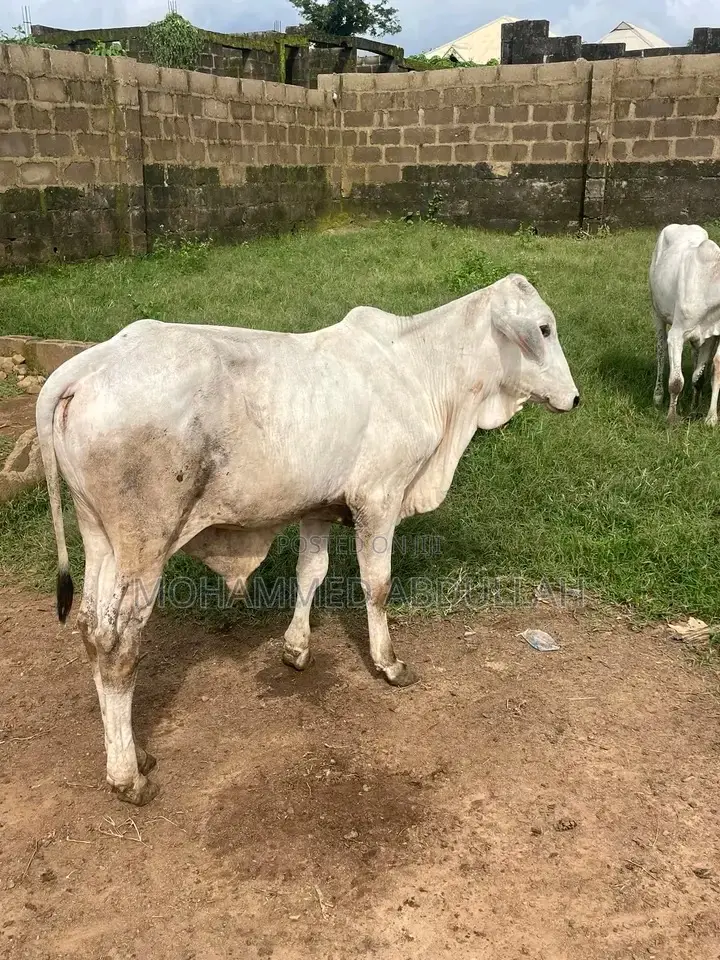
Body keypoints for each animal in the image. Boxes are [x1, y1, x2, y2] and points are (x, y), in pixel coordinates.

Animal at [35, 274, 579, 805]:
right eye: (544, 328)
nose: (575, 398)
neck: (418, 368)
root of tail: (94, 360)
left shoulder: (317, 506)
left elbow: (310, 574)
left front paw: (296, 649)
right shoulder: (378, 497)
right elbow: (377, 586)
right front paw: (388, 663)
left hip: (99, 538)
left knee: (90, 627)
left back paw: (134, 753)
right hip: (144, 544)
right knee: (117, 644)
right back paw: (128, 776)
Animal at [650, 224, 720, 424]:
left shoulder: (712, 336)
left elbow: (703, 375)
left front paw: (706, 416)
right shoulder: (676, 334)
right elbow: (676, 381)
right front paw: (672, 418)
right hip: (657, 312)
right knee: (661, 351)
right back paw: (658, 395)